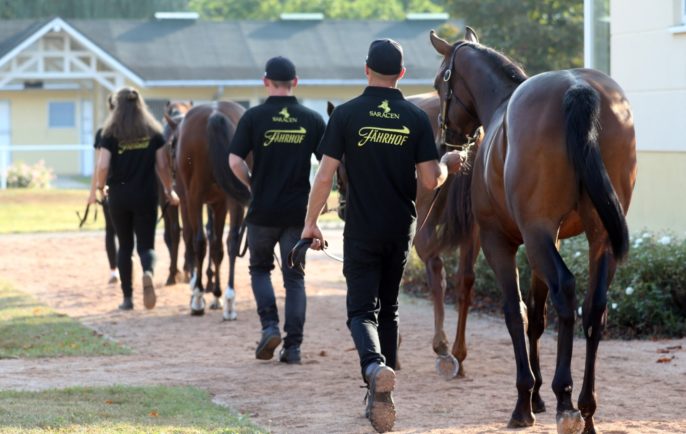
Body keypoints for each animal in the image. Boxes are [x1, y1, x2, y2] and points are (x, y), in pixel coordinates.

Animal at [172, 101, 251, 320]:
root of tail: (215, 115)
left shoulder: (188, 201)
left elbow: (191, 240)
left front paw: (197, 292)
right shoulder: (219, 203)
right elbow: (217, 246)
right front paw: (216, 295)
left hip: (194, 196)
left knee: (199, 242)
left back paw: (198, 299)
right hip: (233, 198)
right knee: (231, 241)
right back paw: (229, 301)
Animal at [430, 28, 637, 433]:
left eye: (439, 82)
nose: (446, 142)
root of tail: (577, 88)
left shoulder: (502, 241)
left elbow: (516, 312)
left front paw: (525, 400)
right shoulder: (546, 240)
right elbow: (537, 318)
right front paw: (538, 396)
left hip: (538, 235)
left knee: (566, 291)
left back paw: (565, 400)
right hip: (598, 237)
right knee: (594, 308)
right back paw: (586, 409)